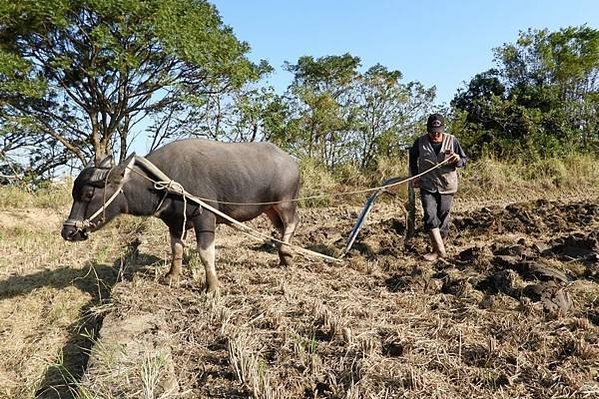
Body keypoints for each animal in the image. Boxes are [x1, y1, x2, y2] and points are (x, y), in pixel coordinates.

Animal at [61, 139, 300, 292]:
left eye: (88, 193)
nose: (68, 232)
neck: (164, 183)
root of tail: (291, 161)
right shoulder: (175, 222)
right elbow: (176, 248)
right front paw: (172, 276)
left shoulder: (205, 218)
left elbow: (205, 253)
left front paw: (212, 287)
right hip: (269, 207)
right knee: (280, 226)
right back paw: (282, 255)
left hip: (286, 202)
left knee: (292, 222)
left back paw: (286, 253)